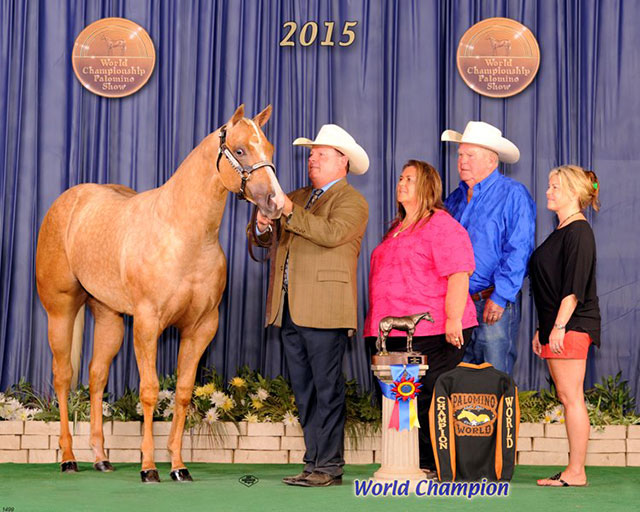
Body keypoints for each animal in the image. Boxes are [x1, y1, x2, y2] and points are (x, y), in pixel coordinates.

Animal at [36, 105, 284, 484]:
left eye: (269, 148)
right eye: (240, 150)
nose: (275, 202)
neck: (183, 235)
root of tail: (68, 202)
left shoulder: (200, 327)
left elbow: (182, 393)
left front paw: (179, 466)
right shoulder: (148, 323)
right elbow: (150, 391)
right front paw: (149, 467)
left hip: (108, 317)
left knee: (96, 375)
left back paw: (101, 458)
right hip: (60, 309)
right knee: (63, 377)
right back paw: (67, 458)